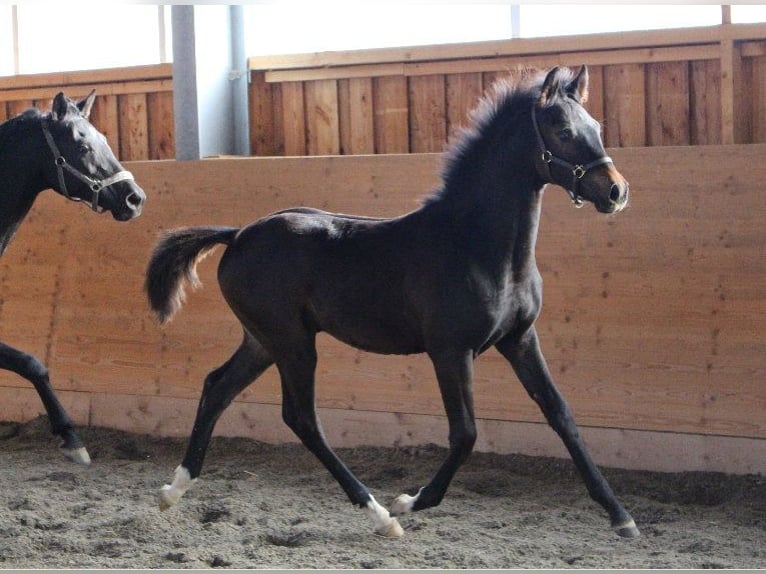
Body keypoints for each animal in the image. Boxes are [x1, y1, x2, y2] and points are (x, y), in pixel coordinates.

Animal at [0, 91, 146, 464]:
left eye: (105, 140)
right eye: (82, 146)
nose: (135, 198)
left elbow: (32, 364)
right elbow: (32, 363)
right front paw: (72, 436)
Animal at [145, 65, 638, 539]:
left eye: (595, 125)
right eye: (563, 131)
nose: (616, 191)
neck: (476, 245)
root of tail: (238, 234)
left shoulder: (519, 339)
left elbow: (561, 415)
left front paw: (620, 516)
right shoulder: (450, 350)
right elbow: (465, 433)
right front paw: (411, 501)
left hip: (263, 341)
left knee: (218, 387)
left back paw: (174, 490)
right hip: (292, 342)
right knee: (301, 417)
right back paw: (381, 515)